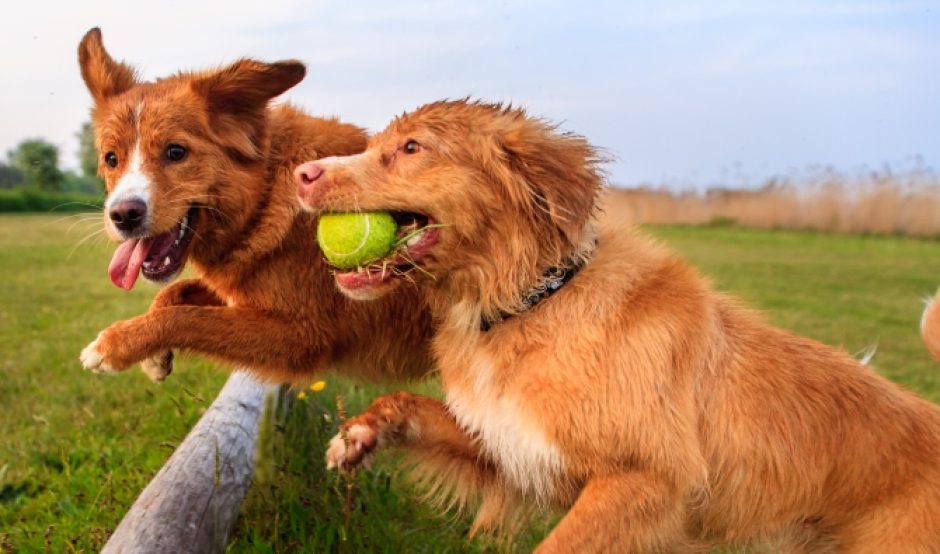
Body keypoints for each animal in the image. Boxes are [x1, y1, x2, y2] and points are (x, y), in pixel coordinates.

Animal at [78, 29, 436, 384]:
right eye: (111, 159)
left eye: (176, 152)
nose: (123, 215)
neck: (265, 195)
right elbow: (176, 294)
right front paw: (154, 355)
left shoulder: (302, 337)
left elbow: (189, 318)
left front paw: (114, 344)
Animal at [296, 100, 940, 552]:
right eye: (378, 144)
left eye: (412, 147)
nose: (301, 173)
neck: (530, 302)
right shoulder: (513, 445)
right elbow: (410, 403)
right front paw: (359, 434)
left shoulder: (644, 481)